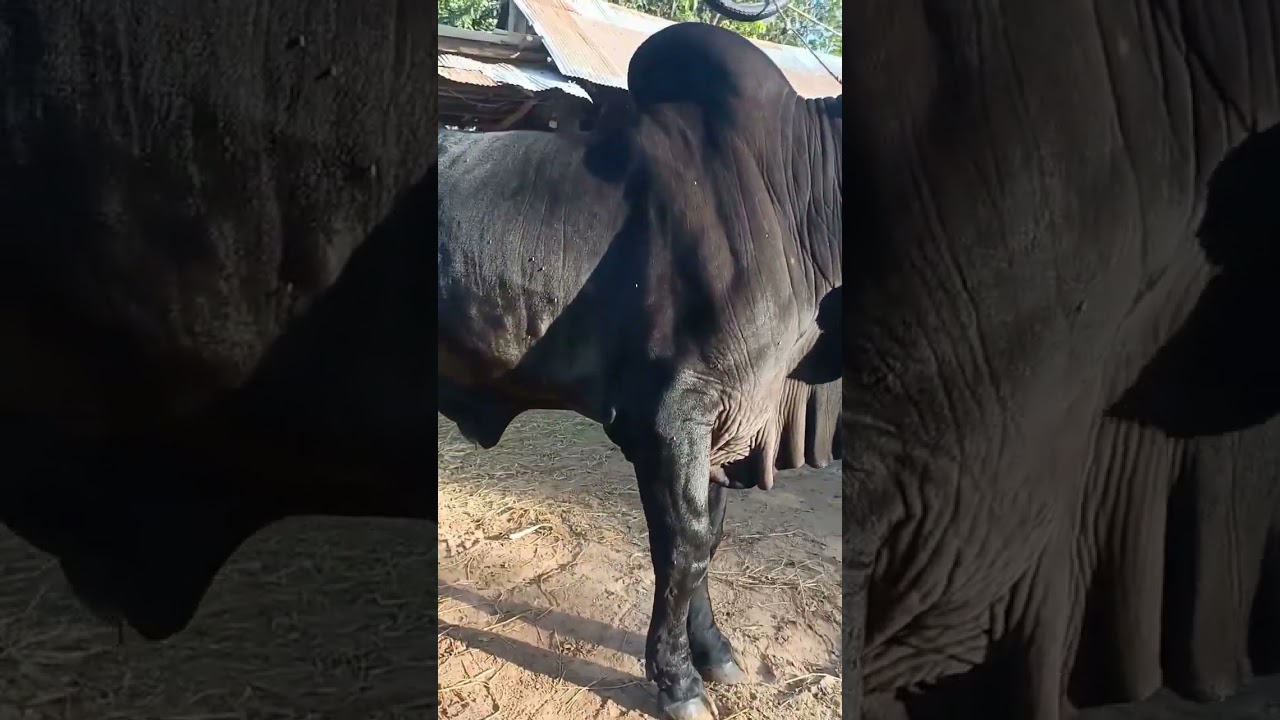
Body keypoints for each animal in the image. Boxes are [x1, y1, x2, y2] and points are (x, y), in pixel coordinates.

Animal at [437, 22, 842, 720]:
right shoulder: (669, 419)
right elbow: (683, 546)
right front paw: (678, 681)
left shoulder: (718, 427)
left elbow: (707, 540)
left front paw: (714, 654)